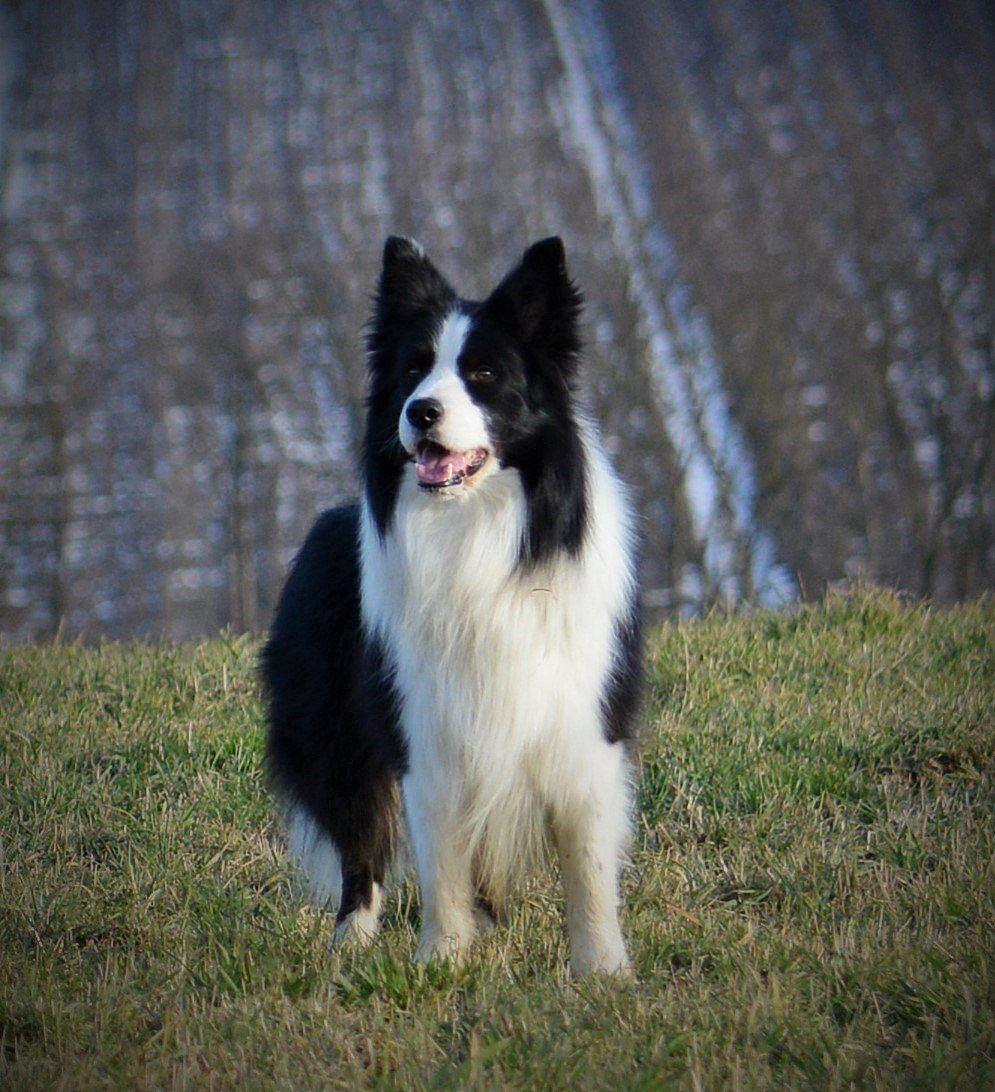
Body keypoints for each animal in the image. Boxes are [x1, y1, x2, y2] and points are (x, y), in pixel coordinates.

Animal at [262, 236, 642, 974]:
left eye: (484, 374)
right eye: (413, 370)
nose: (420, 412)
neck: (479, 535)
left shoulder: (580, 727)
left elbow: (587, 865)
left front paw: (603, 972)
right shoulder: (425, 727)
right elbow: (440, 862)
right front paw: (439, 963)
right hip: (335, 733)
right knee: (361, 848)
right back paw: (350, 944)